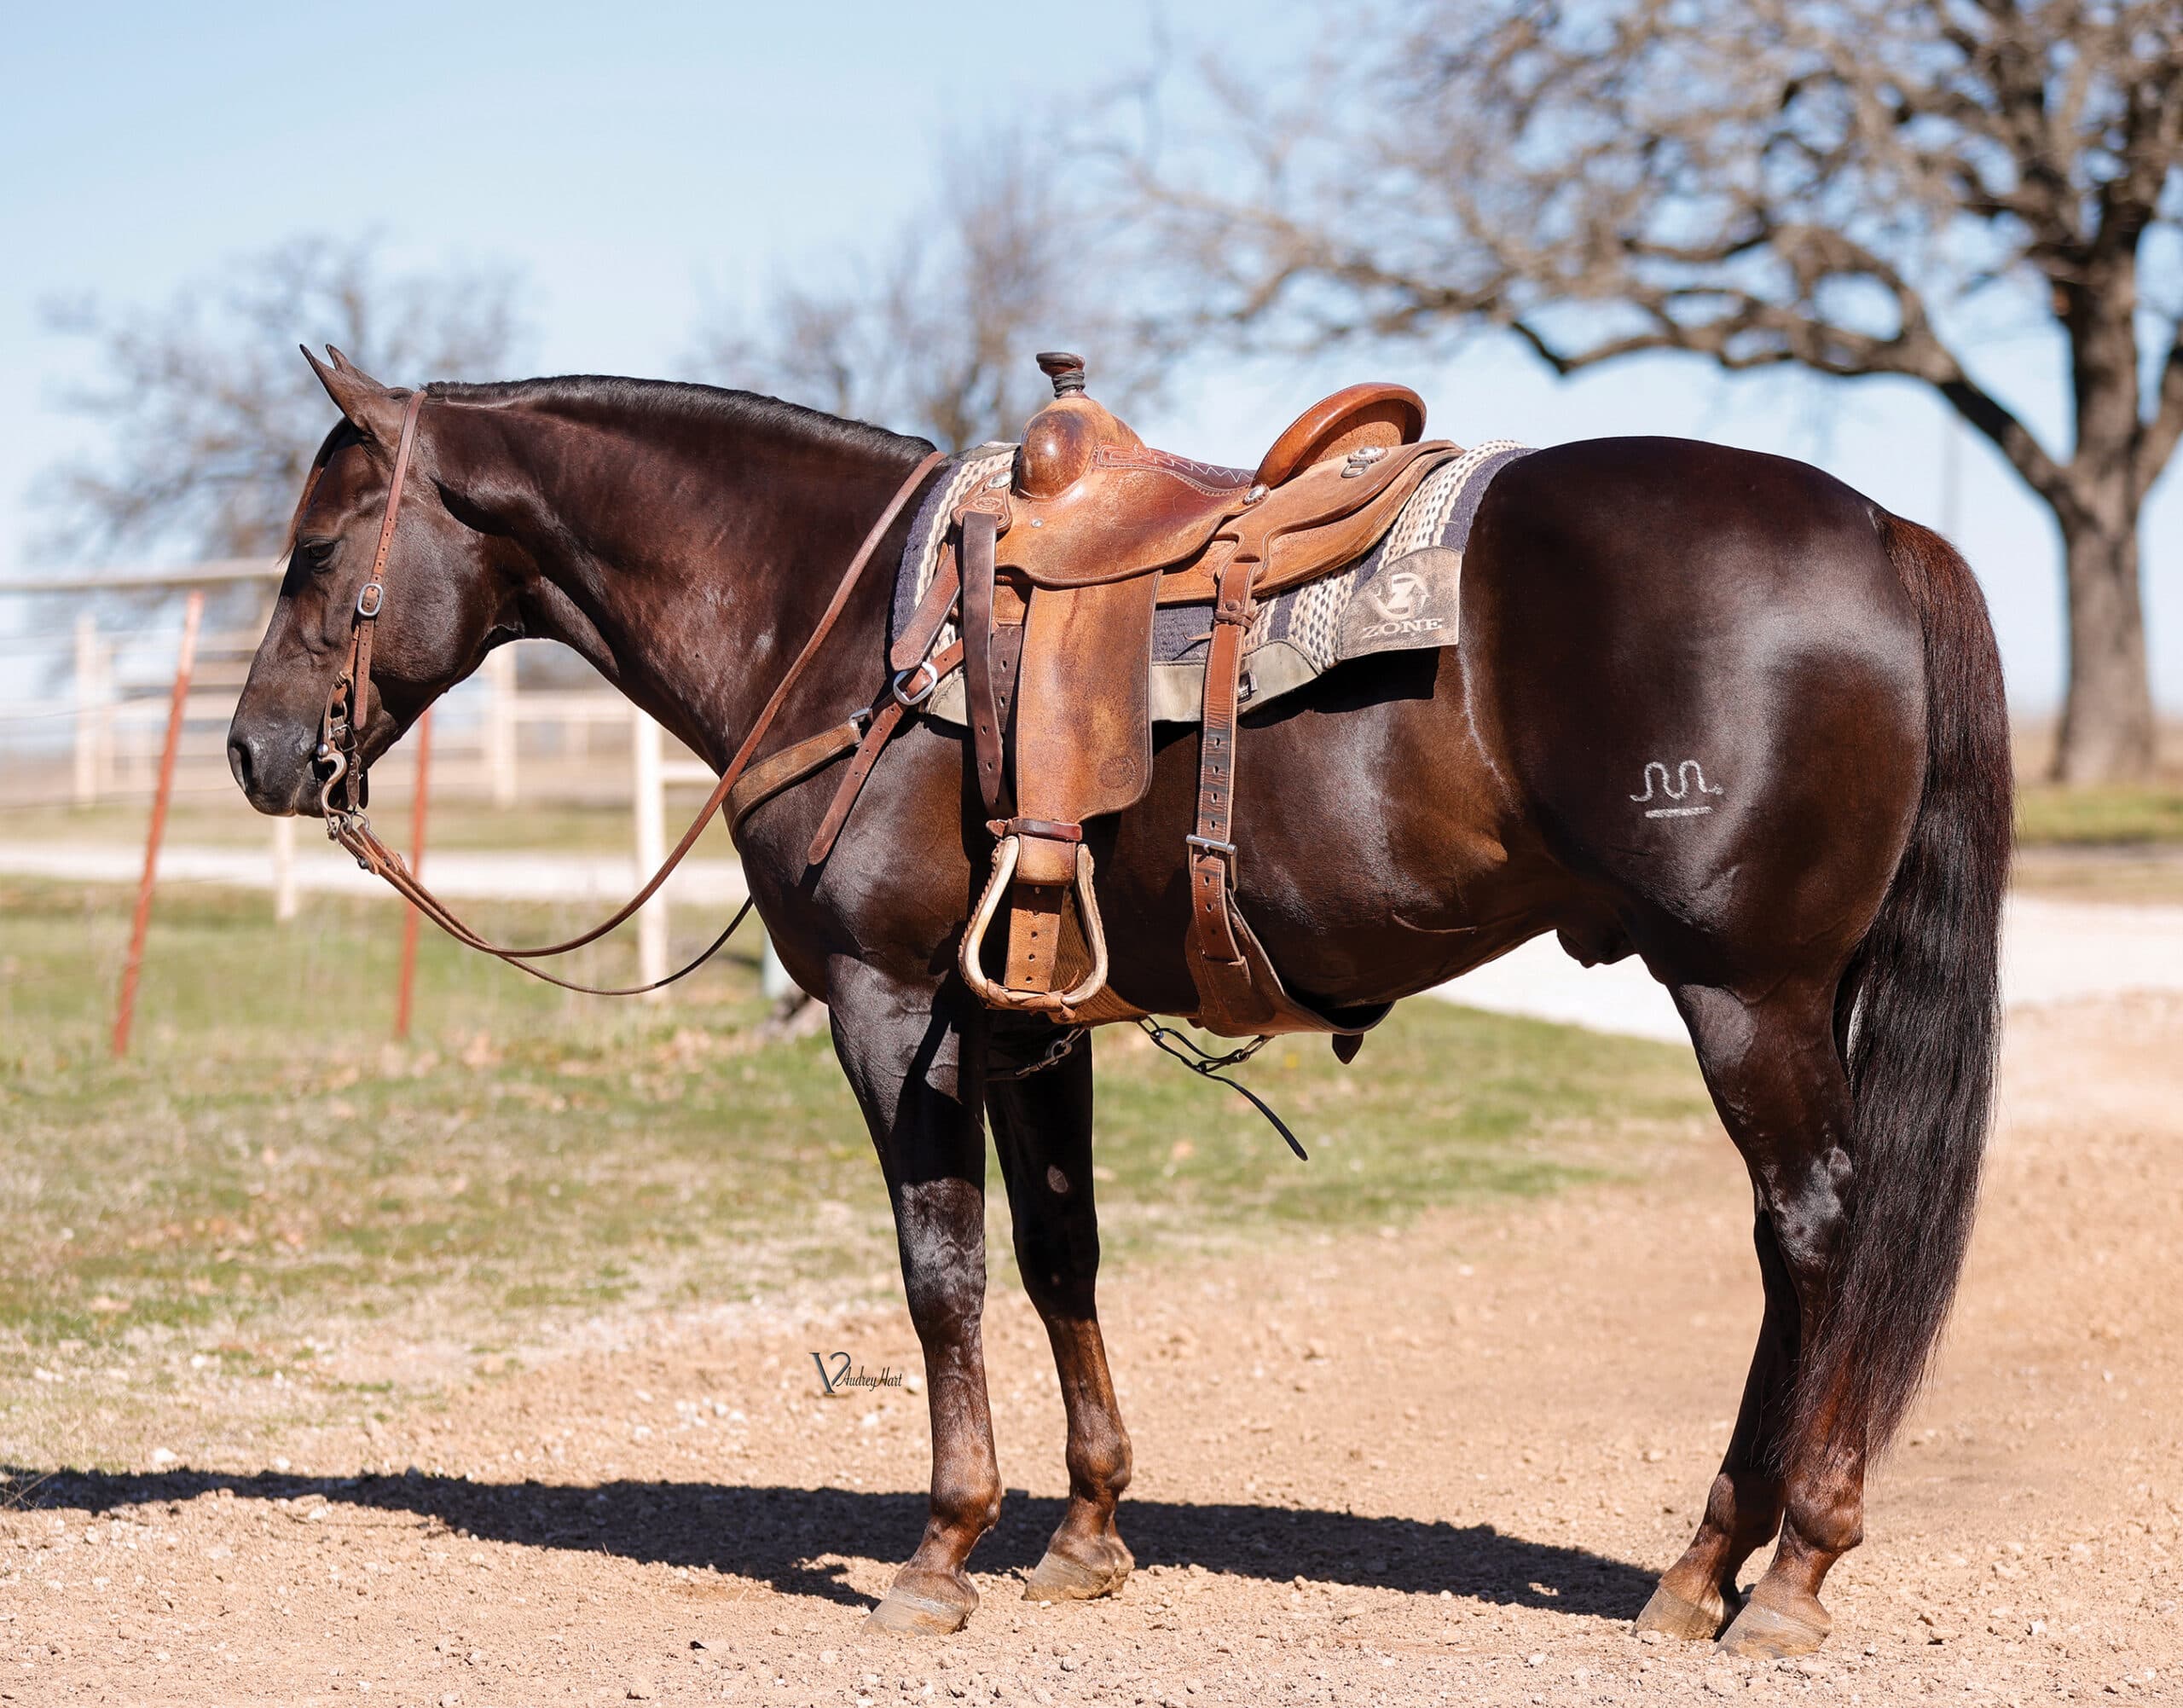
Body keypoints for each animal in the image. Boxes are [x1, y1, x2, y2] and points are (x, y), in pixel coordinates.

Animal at [228, 354, 2010, 1660]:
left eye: (315, 554)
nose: (254, 750)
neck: (843, 616)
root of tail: (1883, 531)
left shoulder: (894, 1008)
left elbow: (940, 1268)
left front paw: (941, 1544)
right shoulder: (1025, 1017)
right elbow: (1058, 1251)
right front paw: (1084, 1532)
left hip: (1744, 989)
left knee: (1818, 1229)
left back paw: (1777, 1568)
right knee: (1801, 1244)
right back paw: (1713, 1566)